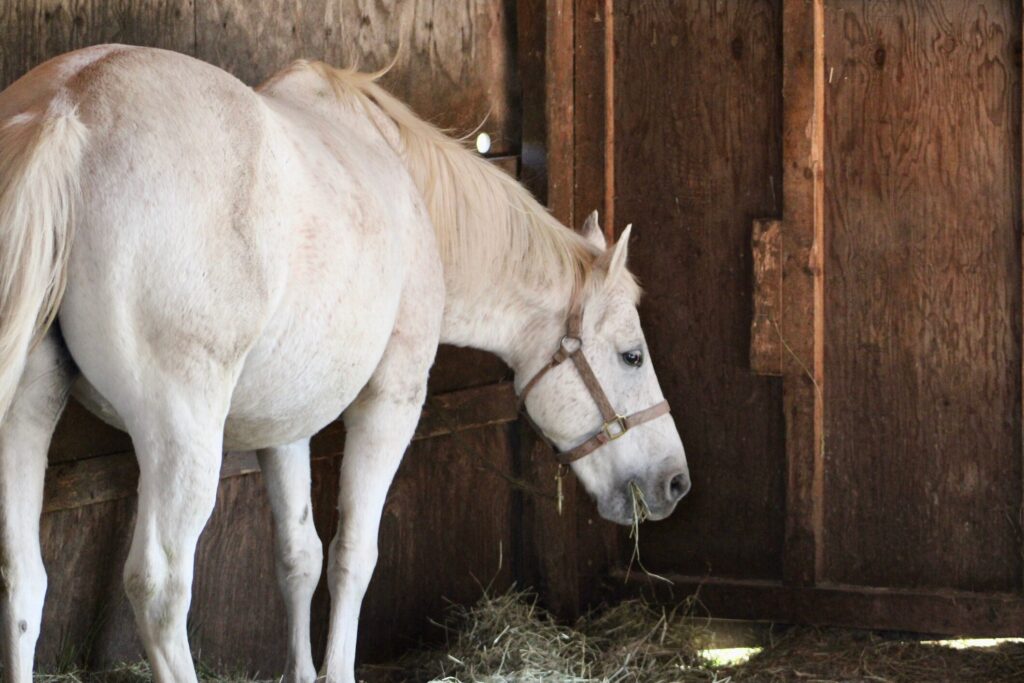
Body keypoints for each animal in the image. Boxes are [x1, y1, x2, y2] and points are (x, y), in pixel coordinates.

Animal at [0, 45, 690, 683]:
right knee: (160, 588)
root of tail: (69, 107)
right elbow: (354, 555)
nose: (675, 483)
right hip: (181, 435)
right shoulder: (391, 401)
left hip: (27, 411)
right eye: (631, 355)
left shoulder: (286, 423)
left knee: (22, 580)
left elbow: (299, 556)